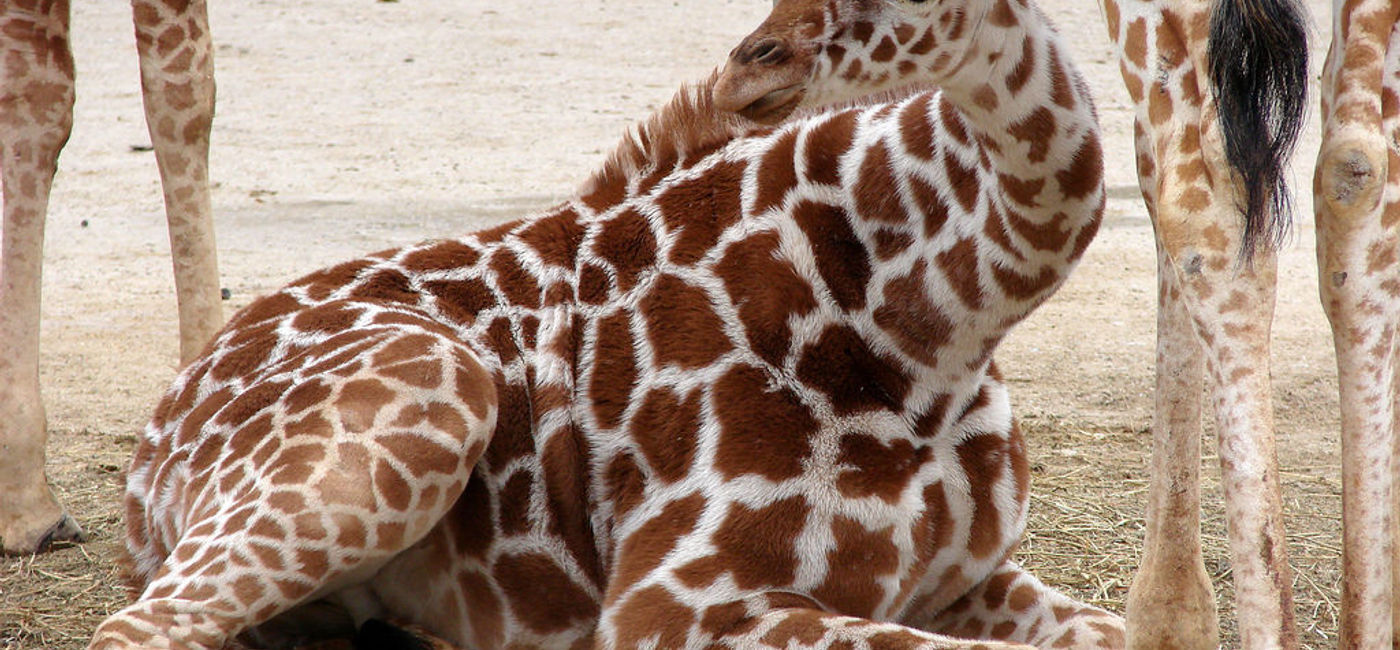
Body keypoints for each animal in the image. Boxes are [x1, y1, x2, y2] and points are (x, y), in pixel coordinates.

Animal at [87, 0, 1126, 647]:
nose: (755, 61)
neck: (930, 333)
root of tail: (151, 443)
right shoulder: (676, 601)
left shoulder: (965, 580)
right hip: (427, 394)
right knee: (141, 627)